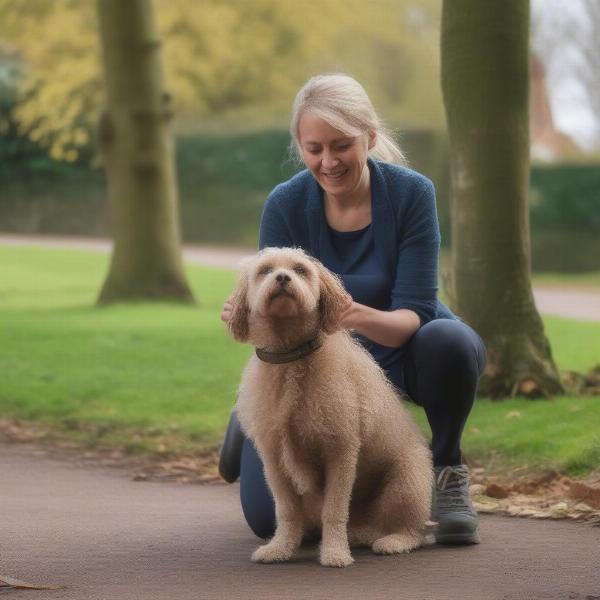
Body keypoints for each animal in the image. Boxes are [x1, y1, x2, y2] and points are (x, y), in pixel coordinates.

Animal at [229, 246, 432, 564]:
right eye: (265, 270)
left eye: (300, 270)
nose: (283, 278)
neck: (292, 359)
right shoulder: (274, 459)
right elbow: (286, 510)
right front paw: (281, 547)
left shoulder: (340, 452)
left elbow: (335, 510)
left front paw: (335, 553)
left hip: (405, 484)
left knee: (411, 529)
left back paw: (392, 541)